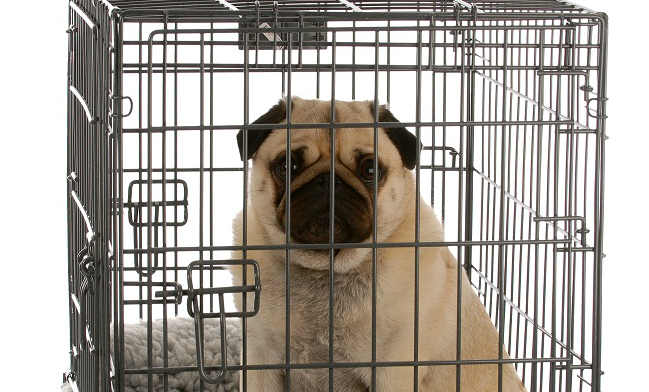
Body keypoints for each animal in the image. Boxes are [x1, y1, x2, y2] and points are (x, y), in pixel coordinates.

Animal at [230, 97, 524, 392]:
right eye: (288, 166)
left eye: (370, 170)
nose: (329, 181)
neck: (327, 268)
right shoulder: (259, 362)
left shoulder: (393, 371)